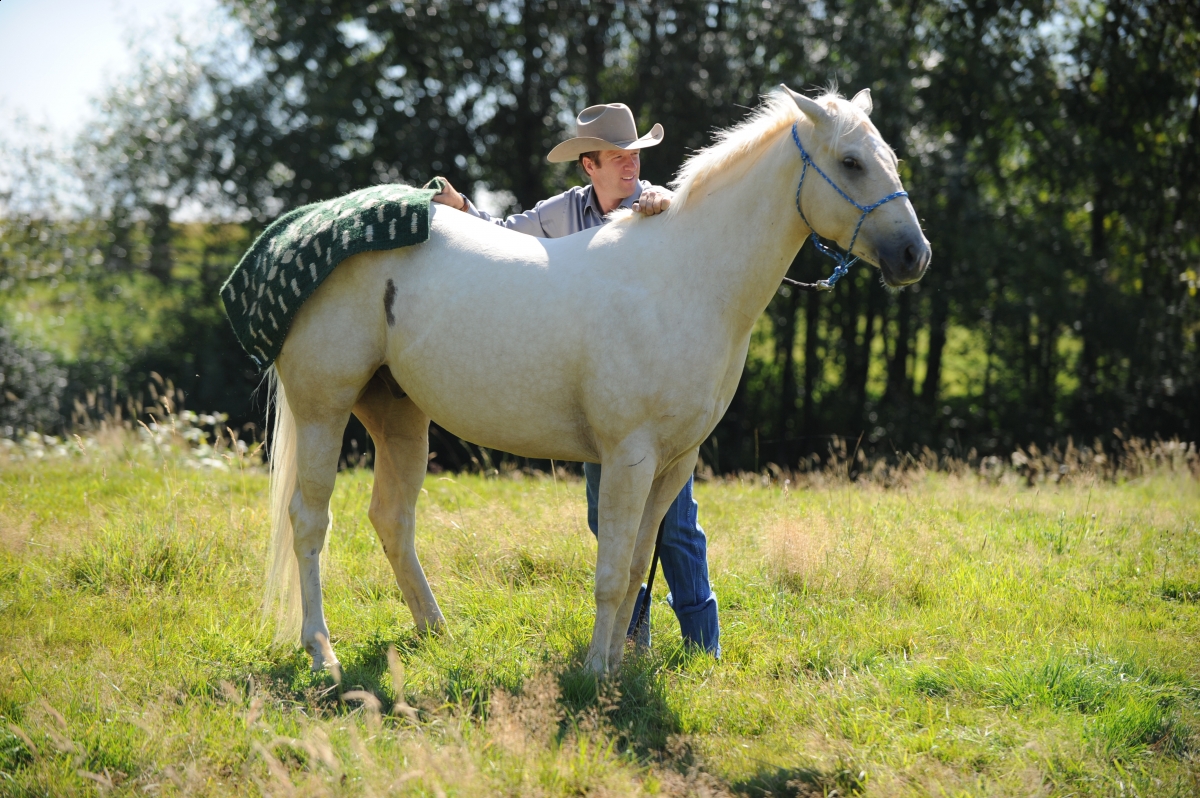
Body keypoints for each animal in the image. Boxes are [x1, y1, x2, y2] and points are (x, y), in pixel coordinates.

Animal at [262, 85, 930, 675]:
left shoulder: (674, 463)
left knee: (392, 519)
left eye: (891, 159)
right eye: (850, 162)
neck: (685, 281)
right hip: (324, 410)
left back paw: (436, 632)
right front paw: (593, 672)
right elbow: (610, 574)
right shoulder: (630, 458)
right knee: (310, 521)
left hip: (399, 416)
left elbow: (637, 567)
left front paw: (615, 666)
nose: (914, 256)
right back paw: (322, 652)